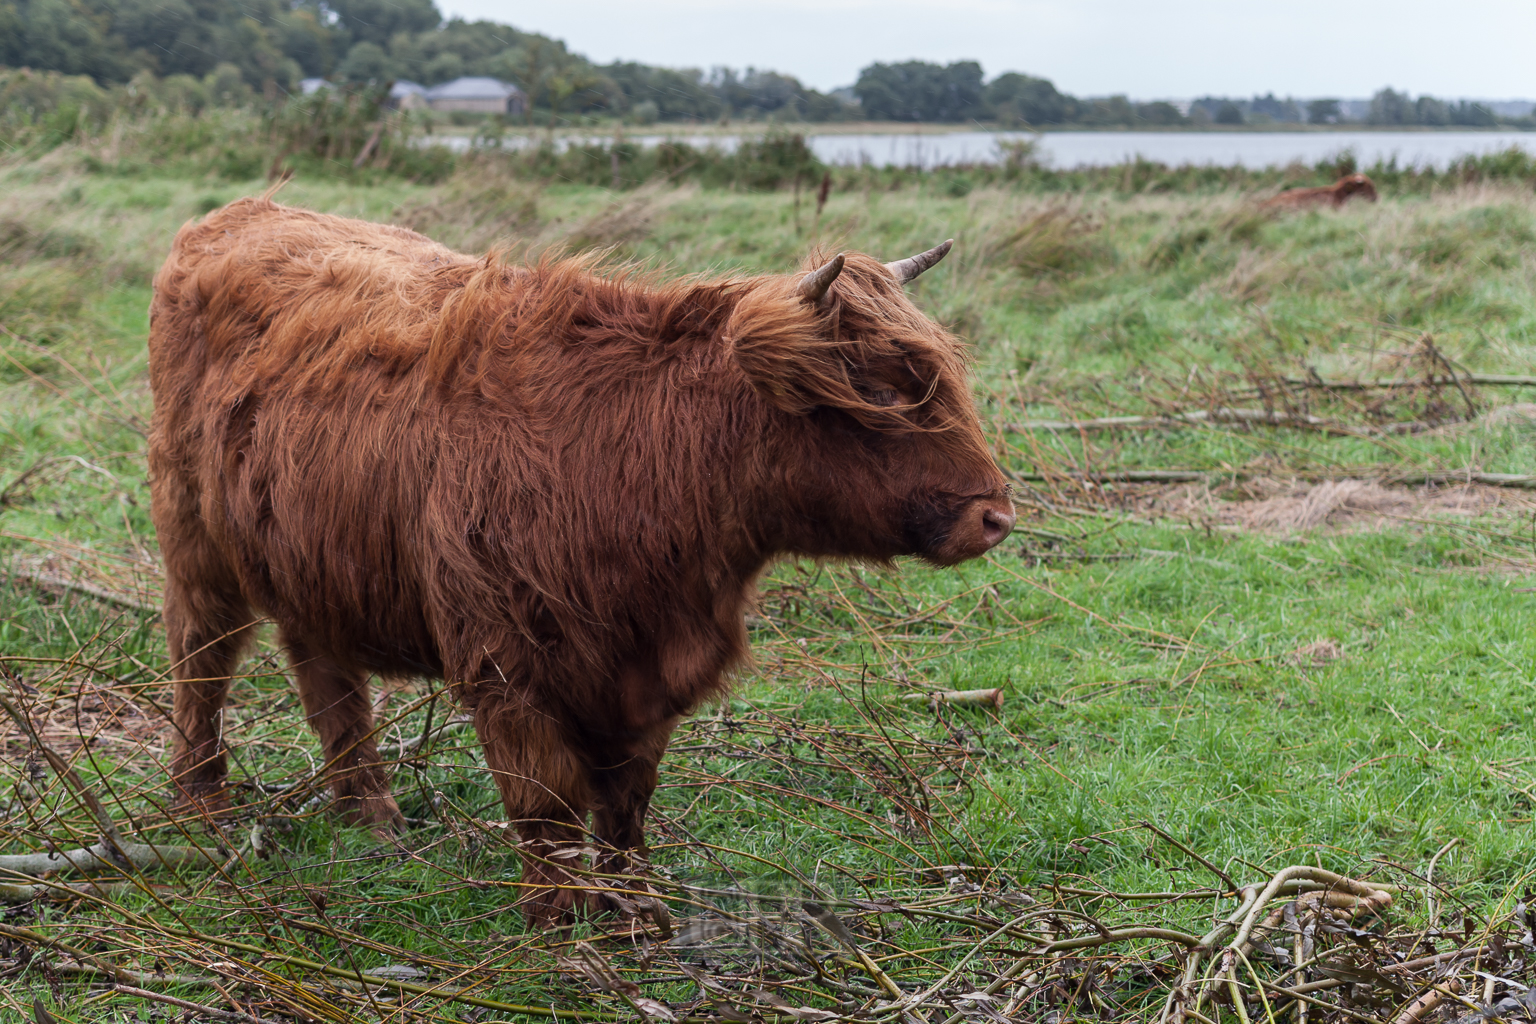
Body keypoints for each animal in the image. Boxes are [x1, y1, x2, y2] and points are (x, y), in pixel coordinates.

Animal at [146, 196, 1019, 927]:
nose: (996, 516)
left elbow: (626, 804)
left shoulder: (646, 676)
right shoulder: (508, 667)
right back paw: (202, 803)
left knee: (324, 672)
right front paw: (563, 926)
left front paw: (636, 915)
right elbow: (548, 804)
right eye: (881, 391)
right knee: (201, 655)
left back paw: (372, 815)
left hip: (310, 554)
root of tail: (237, 212)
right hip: (193, 538)